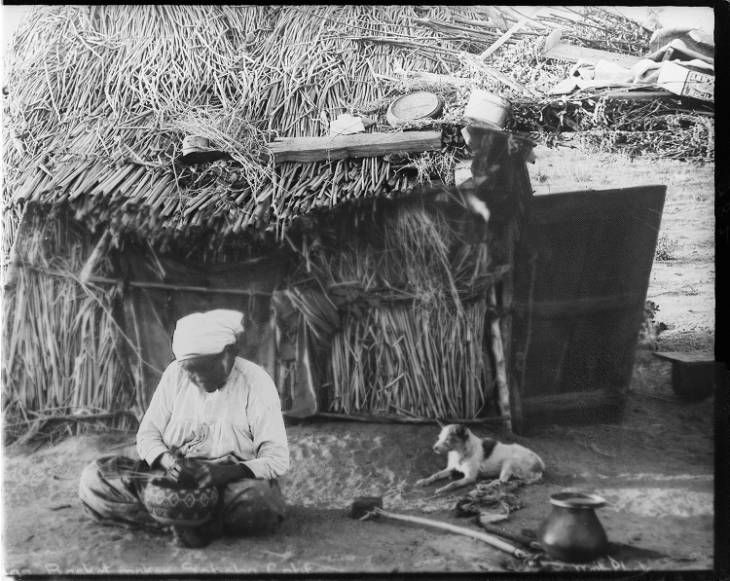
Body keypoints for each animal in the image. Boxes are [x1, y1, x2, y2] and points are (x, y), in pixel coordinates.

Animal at [412, 422, 544, 494]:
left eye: (448, 439)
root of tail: (540, 466)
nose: (434, 448)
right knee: (503, 481)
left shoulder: (469, 477)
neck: (460, 452)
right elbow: (435, 475)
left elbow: (453, 484)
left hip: (509, 462)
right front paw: (424, 481)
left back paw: (484, 486)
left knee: (501, 481)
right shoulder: (451, 468)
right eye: (439, 437)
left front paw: (442, 489)